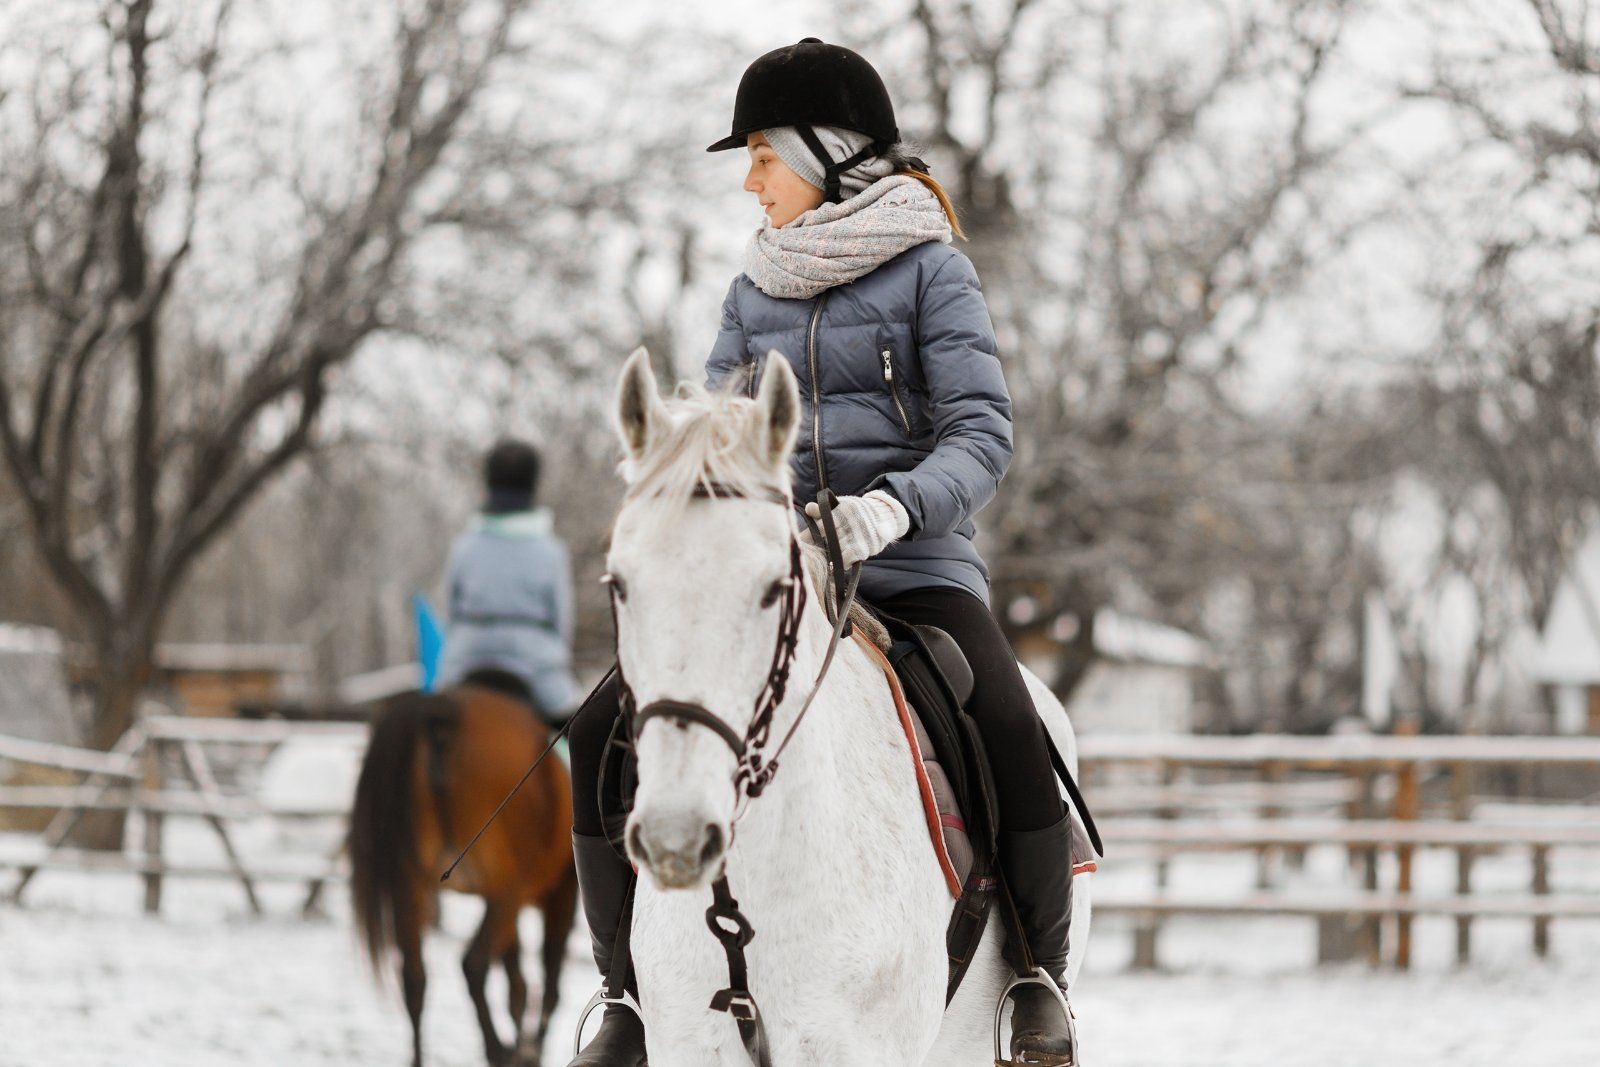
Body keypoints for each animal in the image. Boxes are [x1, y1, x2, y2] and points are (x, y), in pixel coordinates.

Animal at [350, 684, 576, 1067]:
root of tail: (444, 710)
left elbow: (517, 982)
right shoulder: (561, 894)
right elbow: (547, 981)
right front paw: (527, 1049)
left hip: (412, 886)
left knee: (414, 977)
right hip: (508, 889)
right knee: (475, 964)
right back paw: (499, 1049)